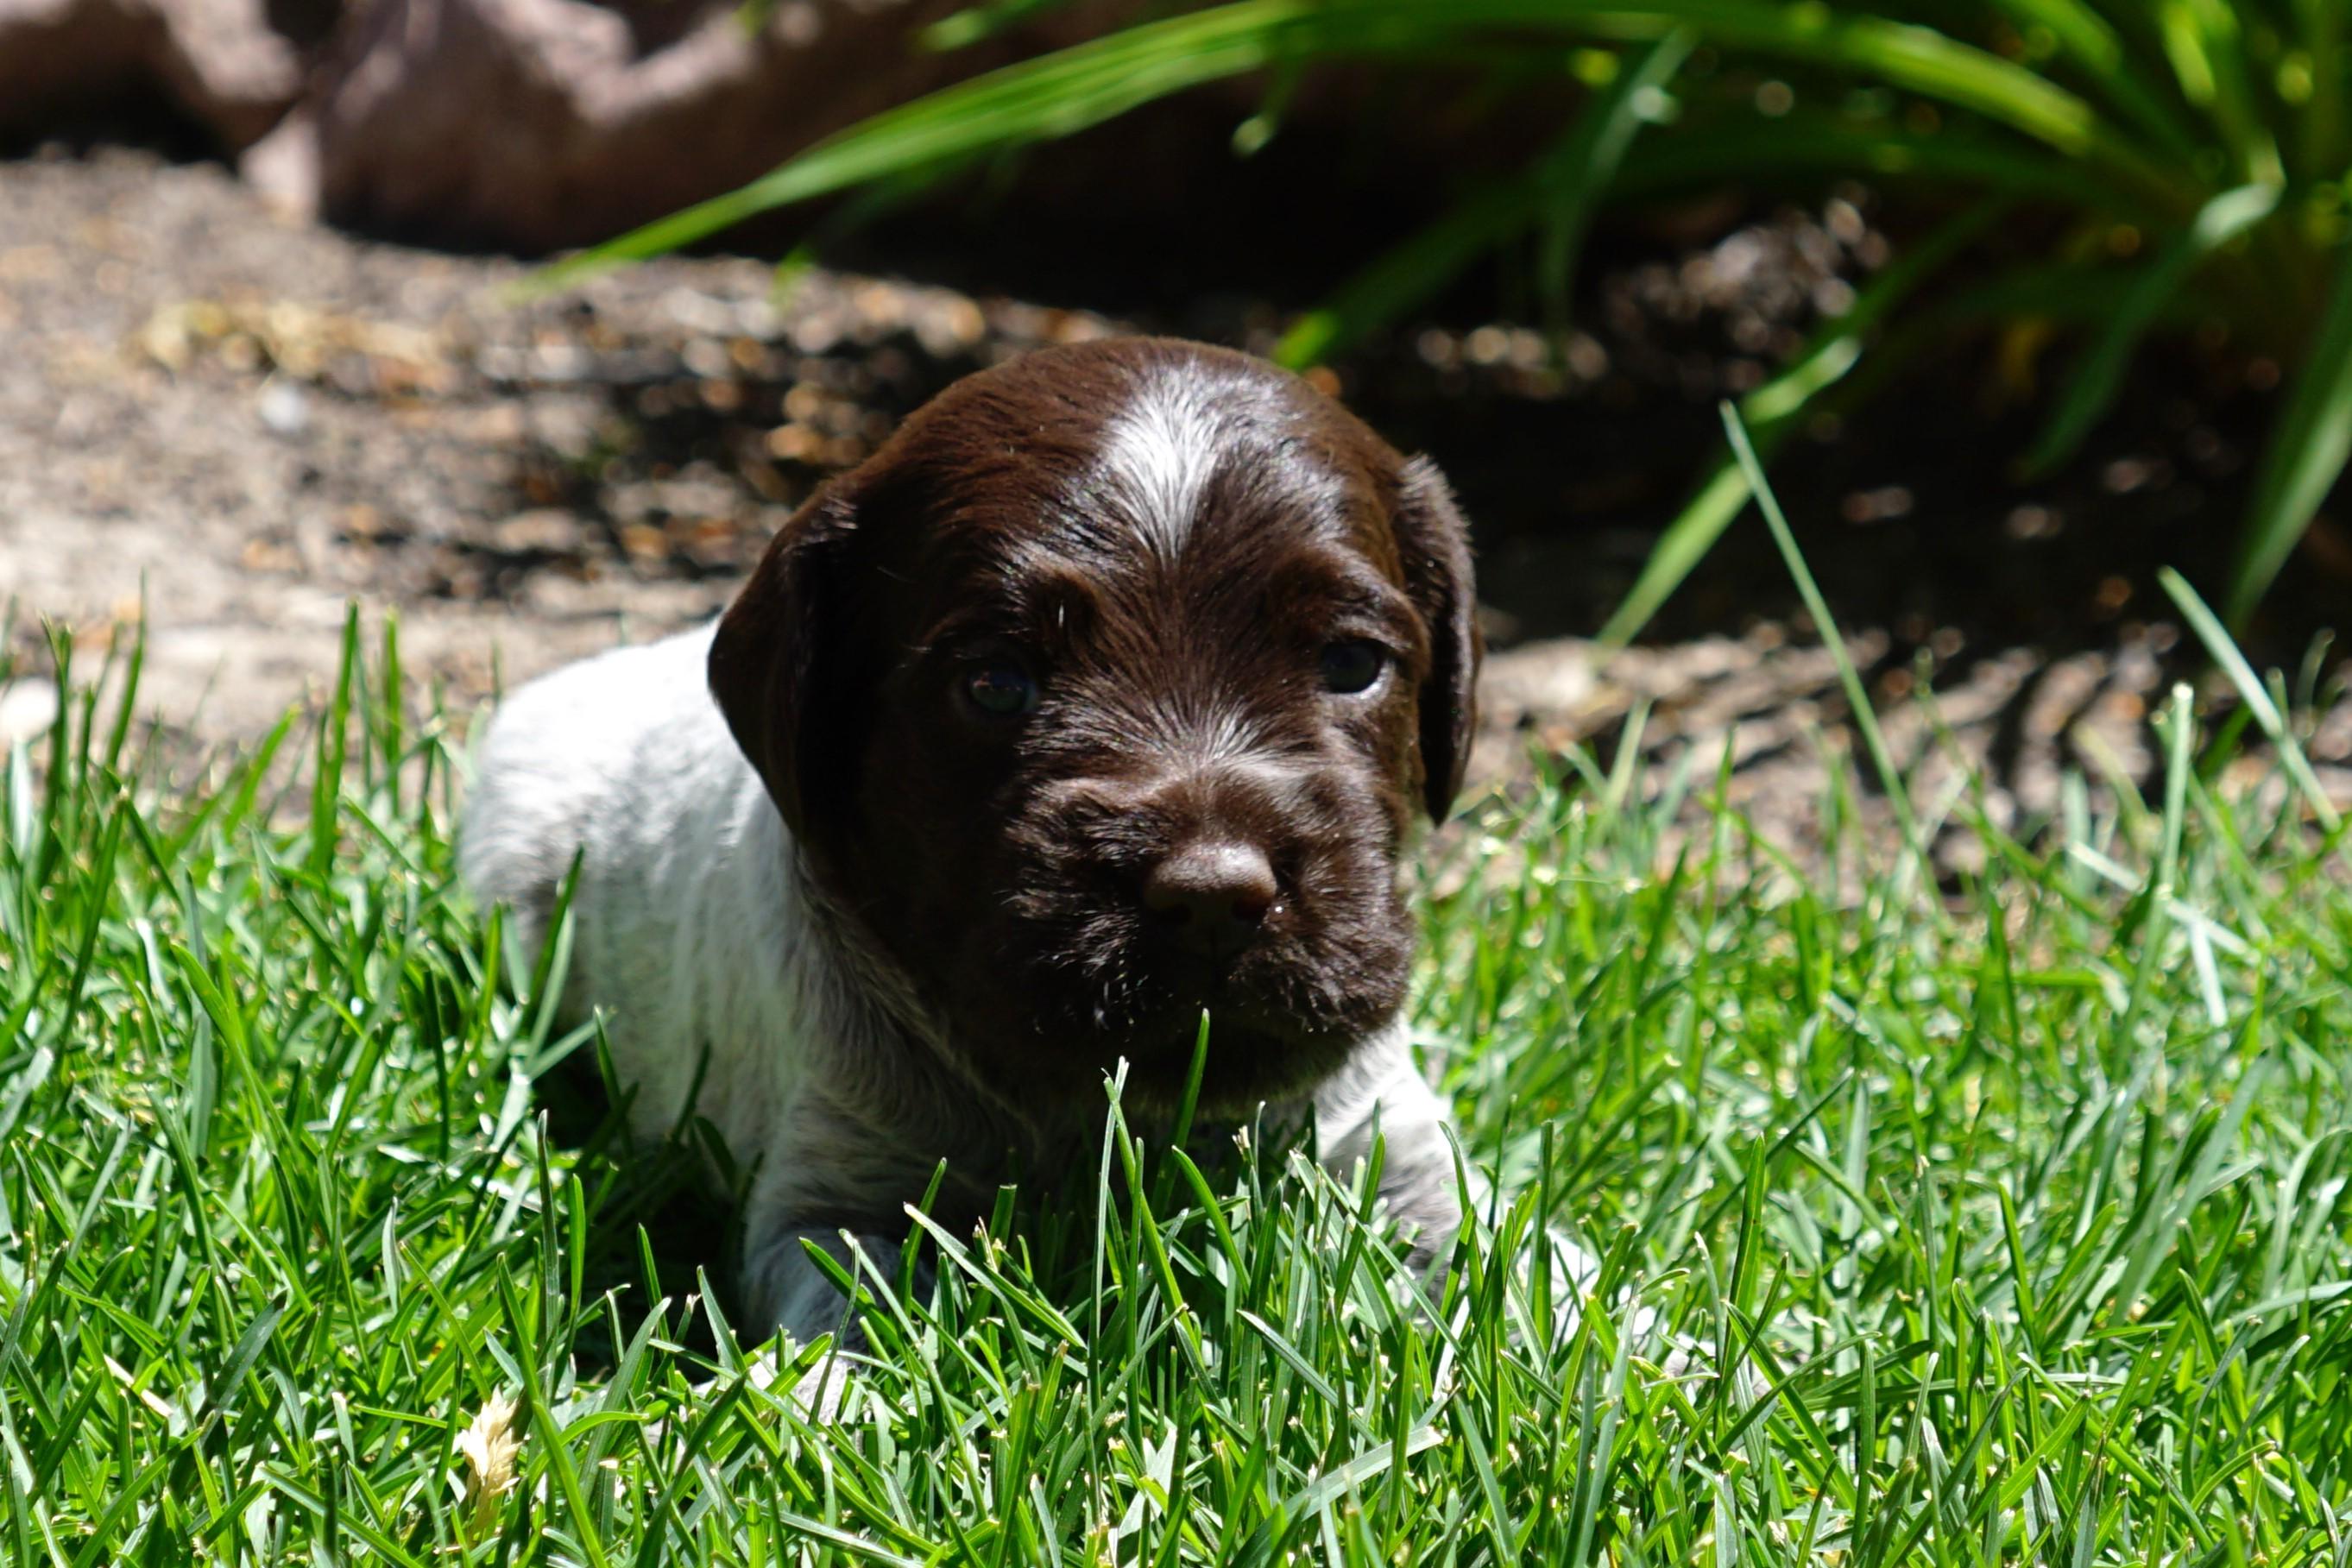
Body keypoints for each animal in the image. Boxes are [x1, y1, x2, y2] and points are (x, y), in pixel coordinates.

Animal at [458, 336, 1489, 1352]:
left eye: (1352, 664)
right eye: (996, 684)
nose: (1210, 896)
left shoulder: (1387, 1140)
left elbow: (1493, 1266)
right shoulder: (829, 1198)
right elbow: (855, 1309)